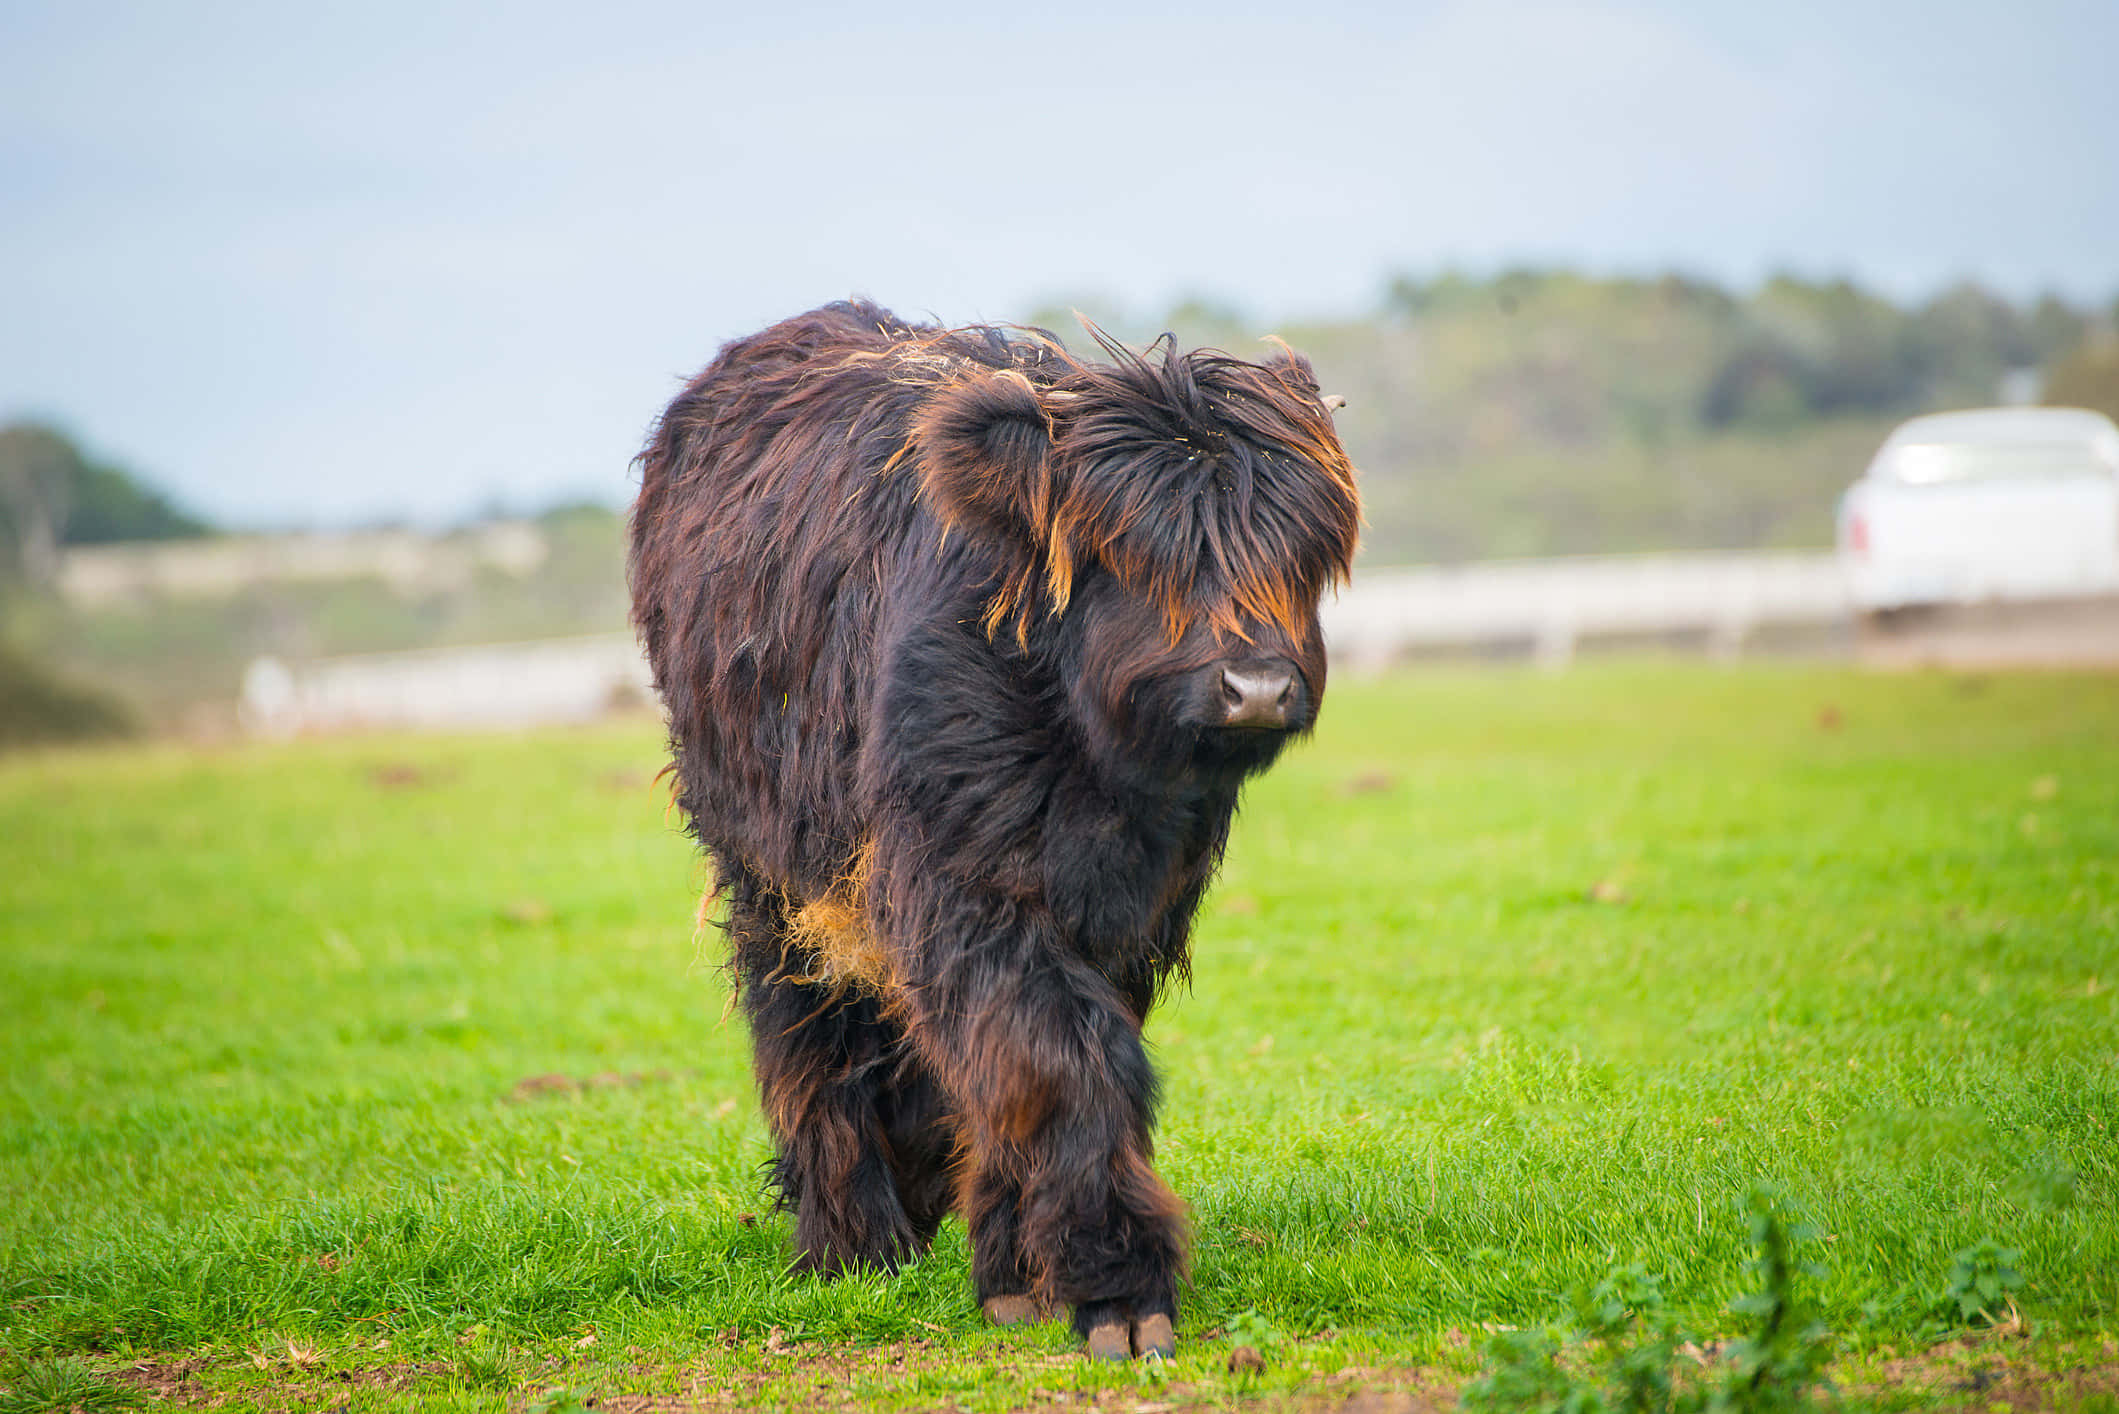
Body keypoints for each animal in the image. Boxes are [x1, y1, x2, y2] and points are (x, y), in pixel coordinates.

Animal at [628, 300, 1360, 1360]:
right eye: (1132, 555)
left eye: (1298, 554)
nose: (1257, 685)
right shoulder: (957, 879)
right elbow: (1051, 1057)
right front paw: (1116, 1290)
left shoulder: (1136, 906)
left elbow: (1045, 1060)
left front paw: (1018, 1272)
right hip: (766, 867)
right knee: (806, 1024)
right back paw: (850, 1243)